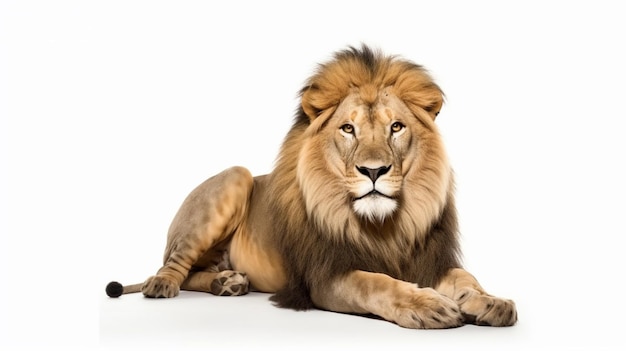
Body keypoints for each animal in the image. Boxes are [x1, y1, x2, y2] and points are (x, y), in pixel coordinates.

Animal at [106, 44, 516, 330]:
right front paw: (427, 306)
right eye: (348, 129)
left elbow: (466, 278)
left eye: (396, 127)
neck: (384, 226)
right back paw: (163, 285)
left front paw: (491, 301)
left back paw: (228, 282)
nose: (373, 171)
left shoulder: (428, 259)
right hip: (234, 178)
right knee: (174, 266)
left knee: (196, 272)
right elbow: (377, 283)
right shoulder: (327, 276)